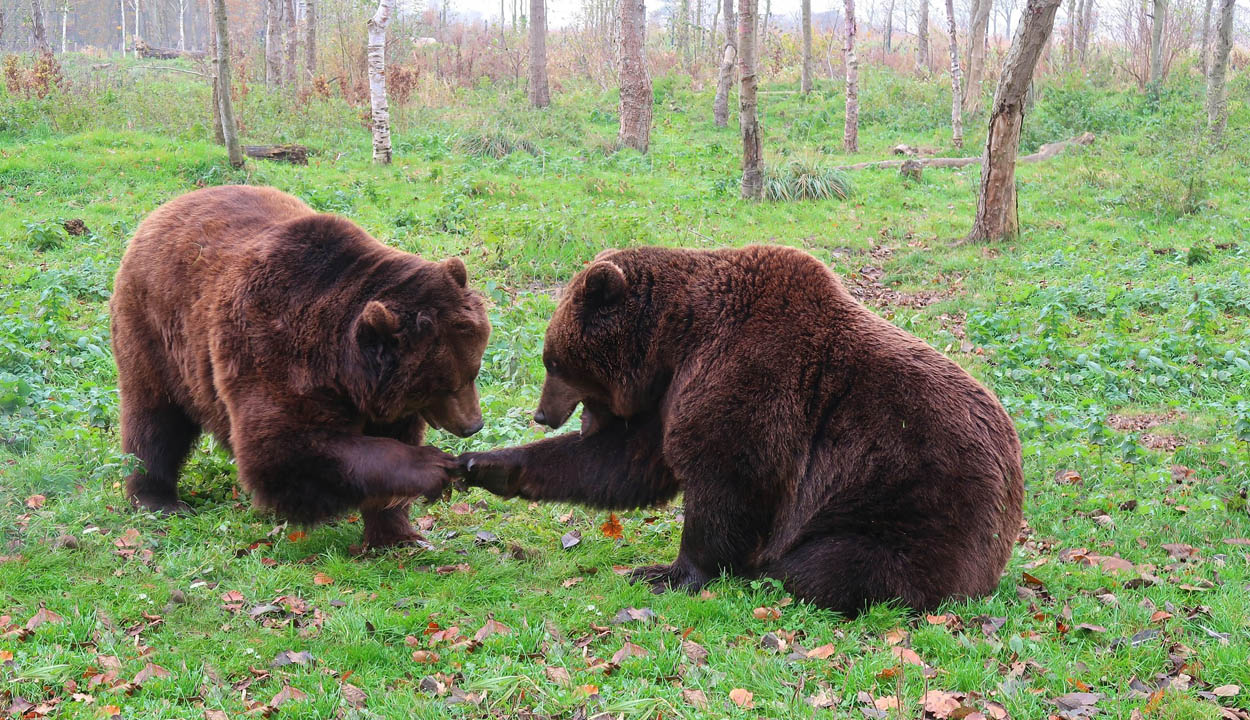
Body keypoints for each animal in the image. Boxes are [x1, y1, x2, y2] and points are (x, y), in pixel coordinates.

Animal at [111, 185, 492, 545]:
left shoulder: (382, 398)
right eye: (445, 385)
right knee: (155, 419)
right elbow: (284, 450)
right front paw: (432, 467)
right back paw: (157, 499)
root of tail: (162, 210)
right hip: (156, 334)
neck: (343, 369)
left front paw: (397, 534)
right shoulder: (274, 352)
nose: (473, 424)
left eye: (473, 371)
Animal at [460, 246, 1025, 612]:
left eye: (553, 361)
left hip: (911, 504)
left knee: (833, 566)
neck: (676, 339)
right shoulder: (672, 396)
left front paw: (667, 573)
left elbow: (729, 479)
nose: (542, 414)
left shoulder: (750, 377)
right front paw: (485, 464)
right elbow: (624, 463)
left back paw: (774, 572)